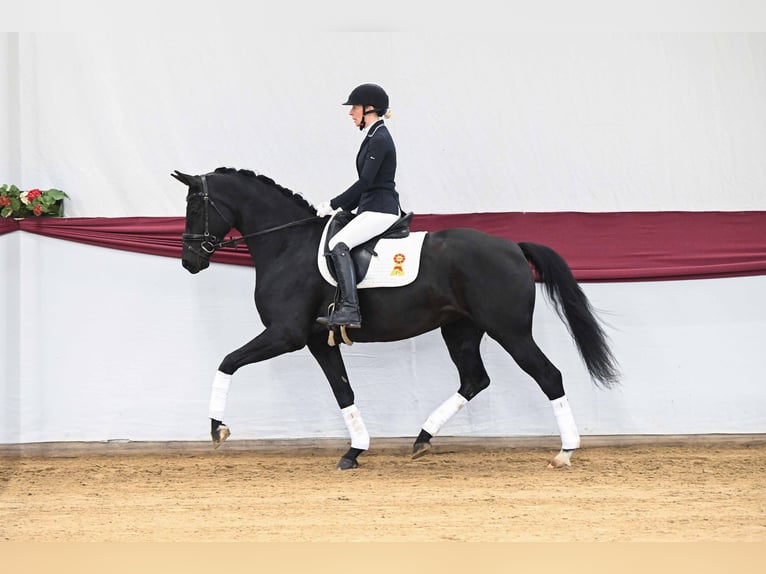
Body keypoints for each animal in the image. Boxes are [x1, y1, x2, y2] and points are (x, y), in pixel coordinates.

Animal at [173, 167, 619, 470]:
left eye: (195, 205)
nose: (190, 261)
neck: (287, 244)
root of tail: (512, 245)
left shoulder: (285, 334)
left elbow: (227, 362)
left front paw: (217, 429)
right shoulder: (317, 340)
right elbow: (343, 392)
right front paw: (354, 451)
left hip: (509, 330)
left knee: (548, 376)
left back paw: (565, 452)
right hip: (461, 329)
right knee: (474, 379)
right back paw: (421, 439)